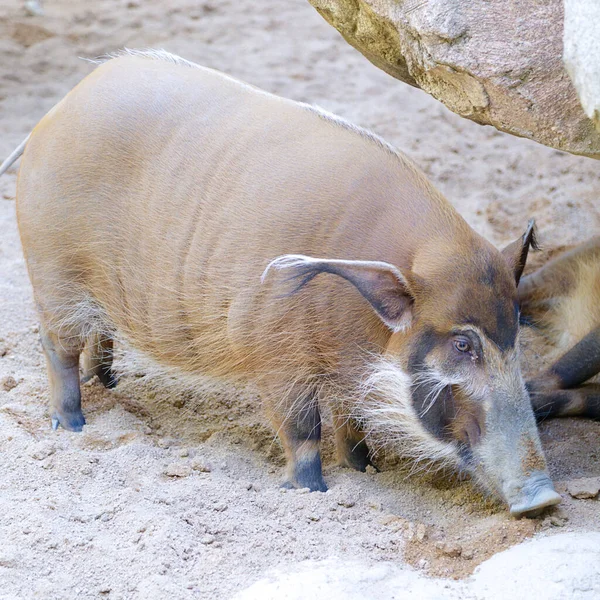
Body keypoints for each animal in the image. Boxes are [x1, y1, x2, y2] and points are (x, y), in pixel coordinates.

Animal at [1, 50, 564, 516]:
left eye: (516, 332)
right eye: (464, 343)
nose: (545, 498)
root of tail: (55, 112)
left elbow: (351, 421)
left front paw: (367, 469)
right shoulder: (273, 354)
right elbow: (302, 429)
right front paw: (311, 492)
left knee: (99, 337)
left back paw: (110, 385)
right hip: (53, 274)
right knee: (56, 345)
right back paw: (71, 424)